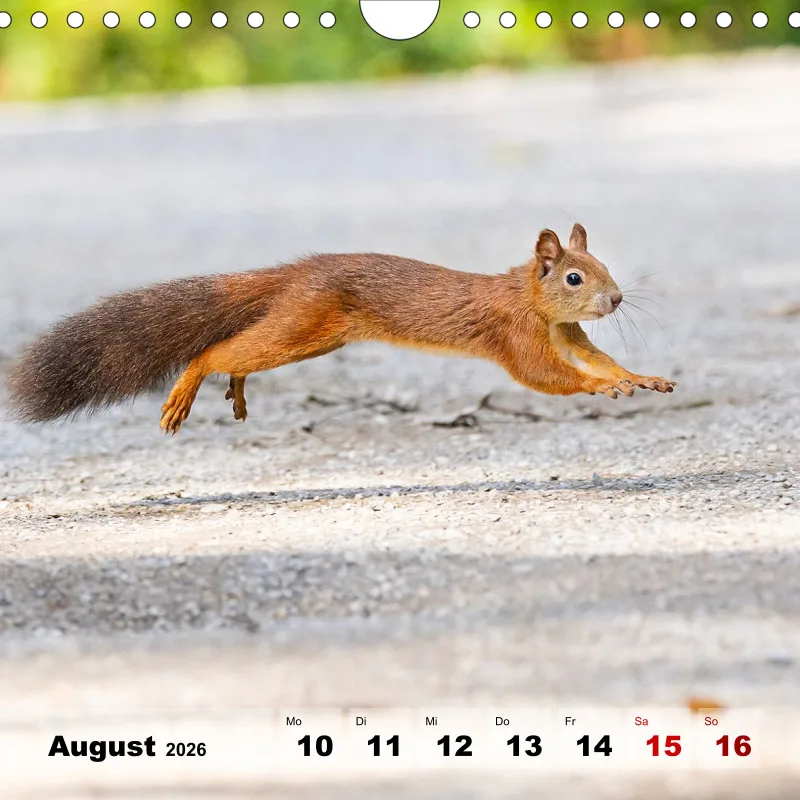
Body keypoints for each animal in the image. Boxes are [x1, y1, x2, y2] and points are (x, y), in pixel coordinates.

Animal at [8, 224, 675, 435]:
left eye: (604, 266)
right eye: (573, 277)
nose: (616, 299)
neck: (529, 299)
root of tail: (299, 272)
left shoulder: (567, 334)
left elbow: (595, 358)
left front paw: (638, 377)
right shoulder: (514, 334)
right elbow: (545, 377)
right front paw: (602, 390)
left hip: (309, 335)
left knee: (239, 353)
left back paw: (236, 390)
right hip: (303, 325)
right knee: (217, 349)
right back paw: (188, 389)